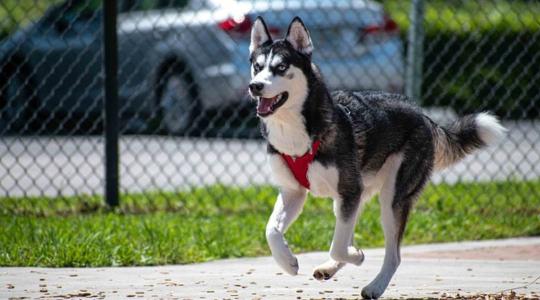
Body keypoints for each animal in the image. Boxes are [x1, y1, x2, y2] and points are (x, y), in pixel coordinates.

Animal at [249, 17, 506, 300]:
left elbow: (338, 245)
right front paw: (288, 261)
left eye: (281, 67)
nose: (255, 86)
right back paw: (330, 268)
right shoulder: (294, 192)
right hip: (358, 194)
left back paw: (374, 285)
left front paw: (357, 256)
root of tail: (422, 115)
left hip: (391, 199)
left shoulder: (349, 191)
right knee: (347, 234)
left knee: (392, 255)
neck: (298, 133)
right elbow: (271, 230)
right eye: (257, 67)